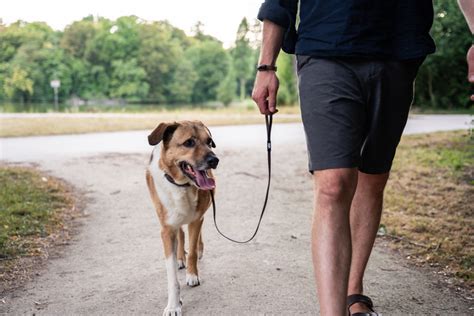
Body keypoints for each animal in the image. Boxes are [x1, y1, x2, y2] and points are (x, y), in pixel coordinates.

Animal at [144, 119, 218, 314]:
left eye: (209, 142)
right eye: (189, 142)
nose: (215, 160)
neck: (181, 186)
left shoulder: (195, 220)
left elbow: (191, 251)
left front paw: (192, 275)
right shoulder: (166, 230)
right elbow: (171, 276)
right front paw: (173, 305)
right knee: (181, 234)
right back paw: (179, 258)